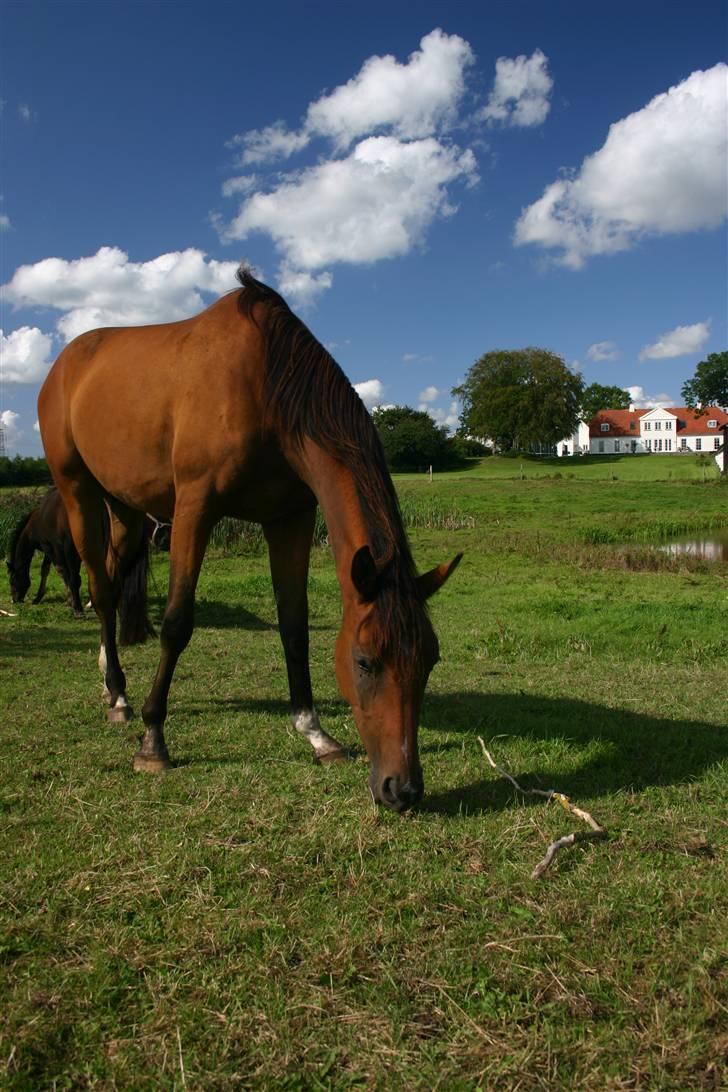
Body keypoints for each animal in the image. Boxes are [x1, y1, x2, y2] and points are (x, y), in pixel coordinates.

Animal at [38, 270, 460, 812]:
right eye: (365, 661)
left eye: (429, 658)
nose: (402, 789)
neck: (267, 385)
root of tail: (65, 363)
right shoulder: (195, 509)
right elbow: (177, 623)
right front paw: (154, 742)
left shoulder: (291, 518)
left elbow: (294, 625)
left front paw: (316, 733)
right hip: (78, 493)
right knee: (100, 588)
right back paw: (121, 696)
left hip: (126, 509)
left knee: (110, 581)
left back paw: (111, 681)